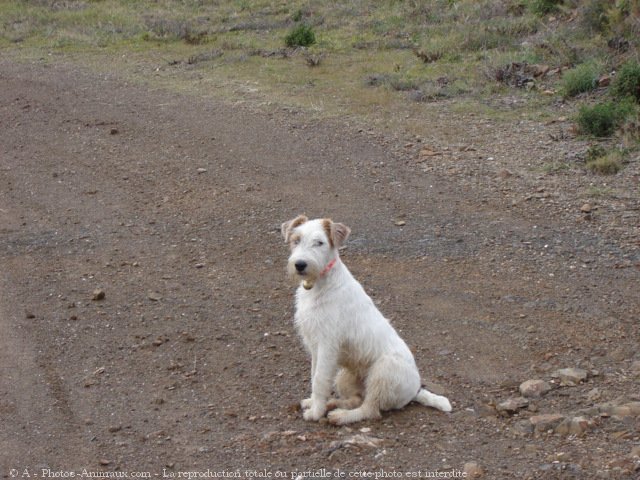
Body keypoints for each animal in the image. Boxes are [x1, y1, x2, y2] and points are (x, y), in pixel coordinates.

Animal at [280, 214, 450, 424]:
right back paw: (333, 405)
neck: (320, 284)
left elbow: (319, 380)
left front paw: (315, 412)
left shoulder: (327, 345)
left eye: (319, 242)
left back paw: (340, 416)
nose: (300, 265)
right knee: (356, 399)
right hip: (345, 375)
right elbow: (315, 375)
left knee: (369, 410)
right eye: (296, 240)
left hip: (383, 371)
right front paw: (314, 403)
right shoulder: (314, 345)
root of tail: (416, 391)